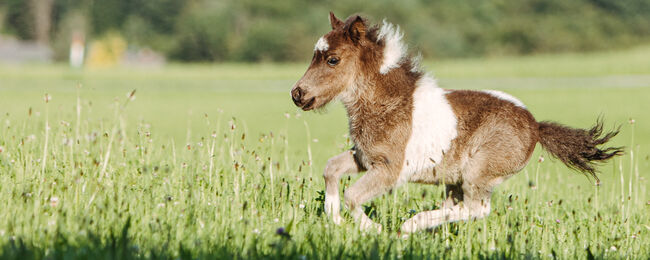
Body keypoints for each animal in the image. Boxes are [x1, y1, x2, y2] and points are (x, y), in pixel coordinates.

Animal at [290, 12, 624, 233]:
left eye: (332, 59)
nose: (297, 93)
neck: (389, 103)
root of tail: (536, 125)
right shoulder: (365, 158)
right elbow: (331, 169)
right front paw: (333, 218)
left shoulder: (390, 170)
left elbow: (352, 196)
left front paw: (372, 229)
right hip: (455, 179)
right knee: (460, 207)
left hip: (477, 173)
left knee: (478, 209)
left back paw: (411, 225)